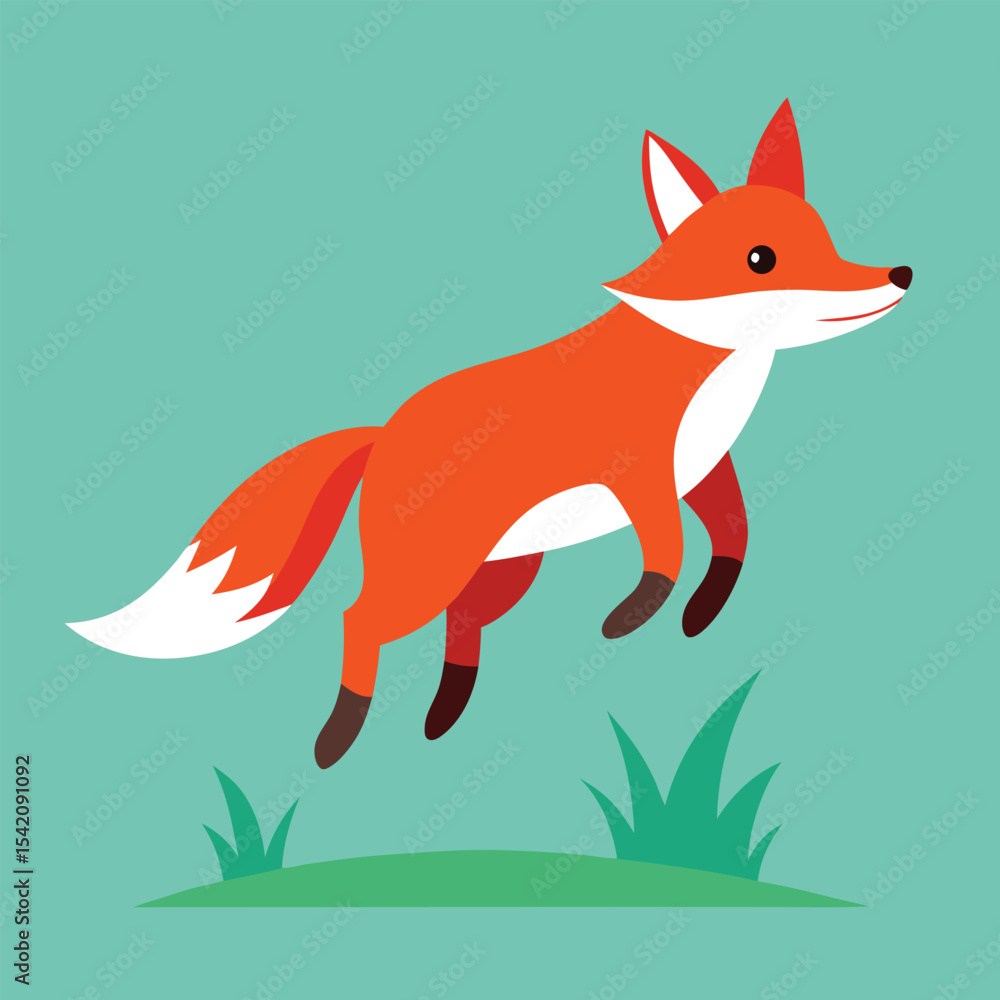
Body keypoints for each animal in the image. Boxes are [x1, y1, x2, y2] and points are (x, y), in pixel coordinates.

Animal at [68, 101, 911, 769]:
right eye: (761, 258)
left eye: (829, 239)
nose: (898, 274)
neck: (708, 372)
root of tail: (383, 431)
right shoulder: (637, 474)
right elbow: (666, 553)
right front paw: (636, 613)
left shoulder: (701, 472)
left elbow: (734, 537)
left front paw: (703, 610)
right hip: (430, 571)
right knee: (360, 621)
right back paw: (341, 735)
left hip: (503, 569)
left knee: (461, 628)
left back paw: (445, 713)